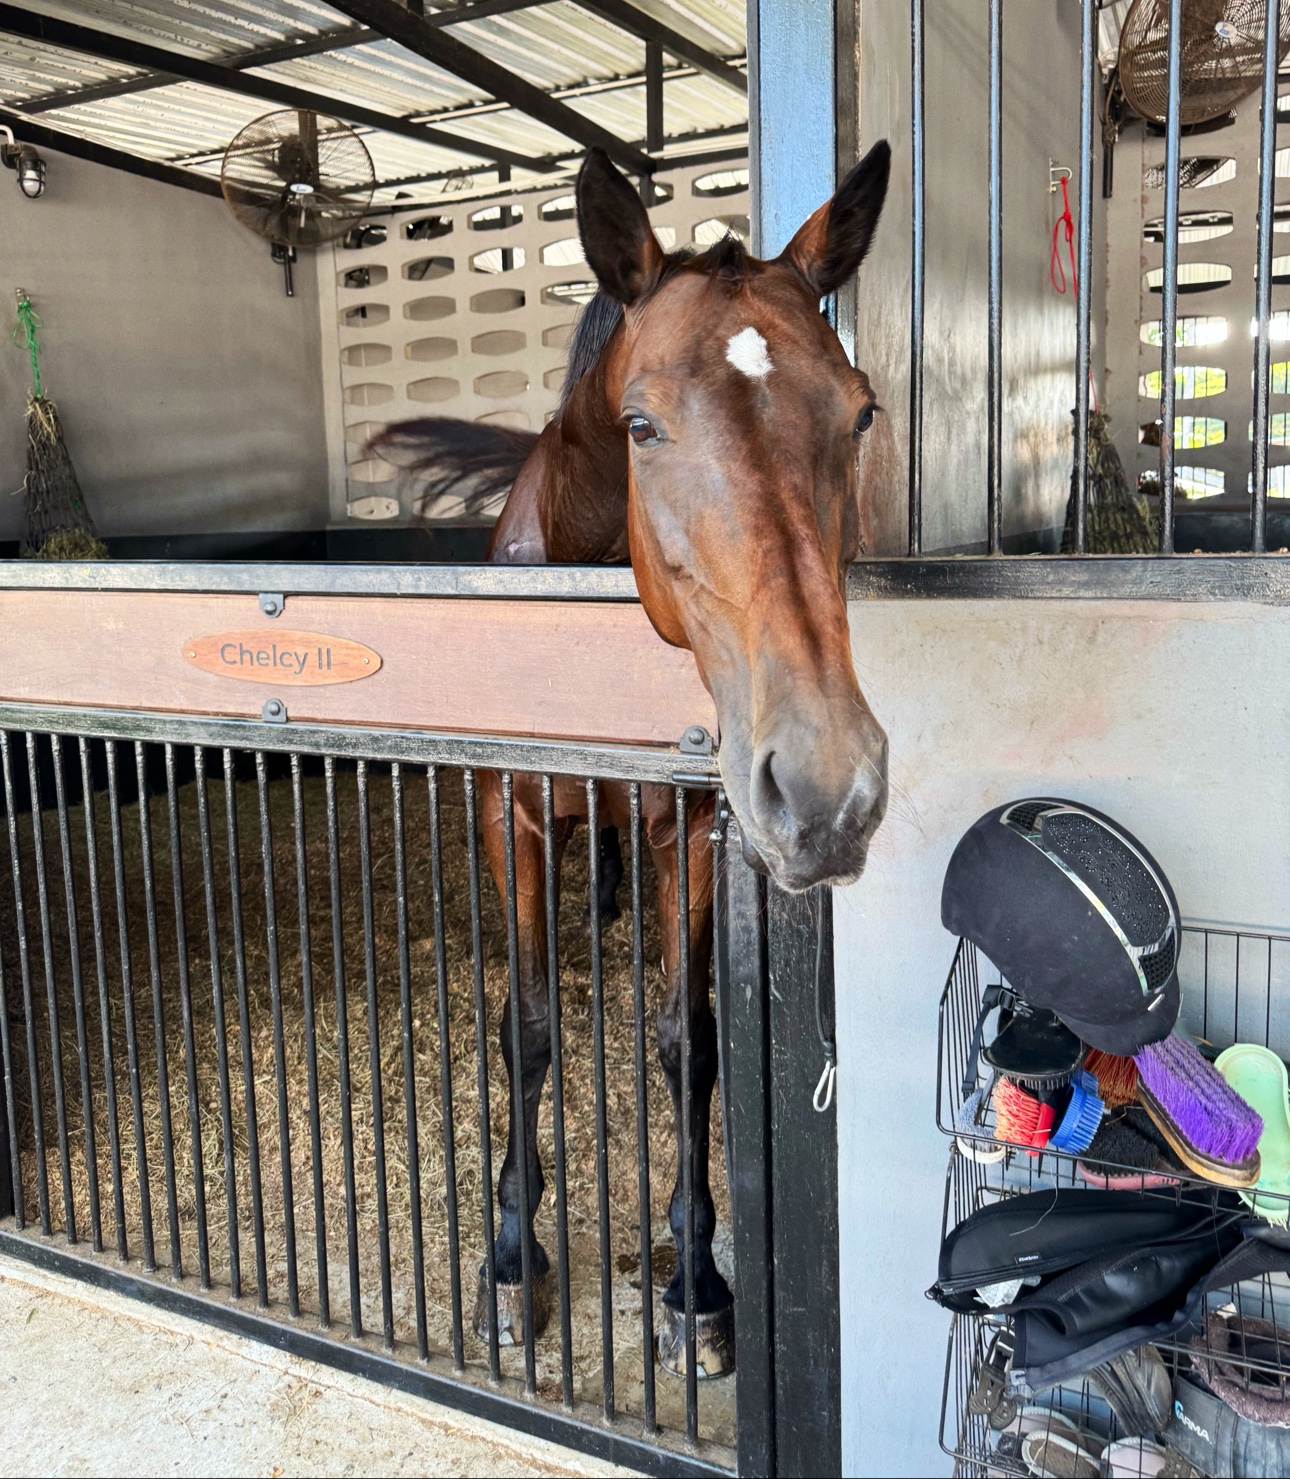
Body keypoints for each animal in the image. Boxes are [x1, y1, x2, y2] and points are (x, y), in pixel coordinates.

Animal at [373, 139, 891, 1378]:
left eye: (859, 413)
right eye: (643, 425)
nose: (829, 789)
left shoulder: (691, 827)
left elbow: (687, 1044)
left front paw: (696, 1286)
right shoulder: (510, 813)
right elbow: (526, 1031)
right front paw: (512, 1264)